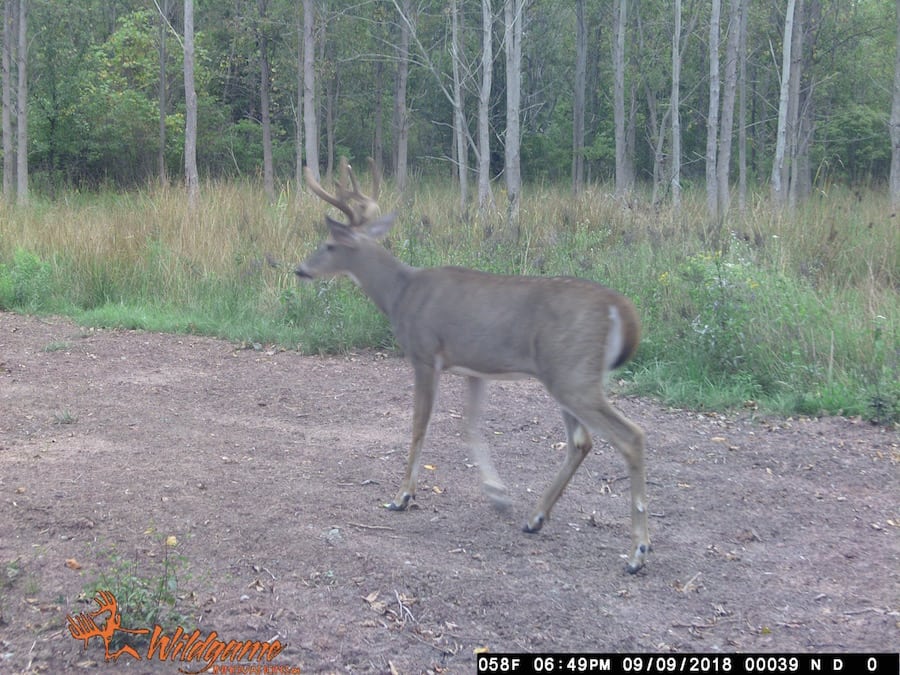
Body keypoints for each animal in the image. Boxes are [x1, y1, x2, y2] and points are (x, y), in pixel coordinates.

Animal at [296, 159, 650, 573]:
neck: (399, 295)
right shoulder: (474, 368)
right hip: (569, 376)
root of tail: (619, 307)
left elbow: (419, 426)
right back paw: (535, 518)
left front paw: (402, 496)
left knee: (630, 436)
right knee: (581, 442)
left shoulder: (424, 353)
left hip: (573, 375)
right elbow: (469, 425)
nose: (301, 269)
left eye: (329, 245)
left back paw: (637, 552)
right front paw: (497, 494)